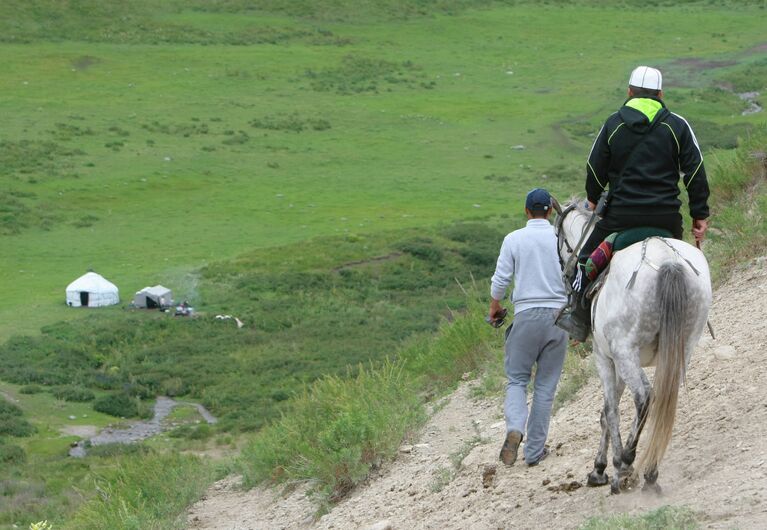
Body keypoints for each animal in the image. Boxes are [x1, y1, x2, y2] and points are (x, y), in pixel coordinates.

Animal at [556, 198, 712, 490]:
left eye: (557, 239)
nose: (565, 271)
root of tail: (667, 261)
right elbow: (608, 411)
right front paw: (602, 467)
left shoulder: (605, 358)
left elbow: (609, 410)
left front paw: (606, 467)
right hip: (680, 349)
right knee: (663, 397)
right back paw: (650, 470)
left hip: (626, 354)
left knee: (644, 397)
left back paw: (628, 461)